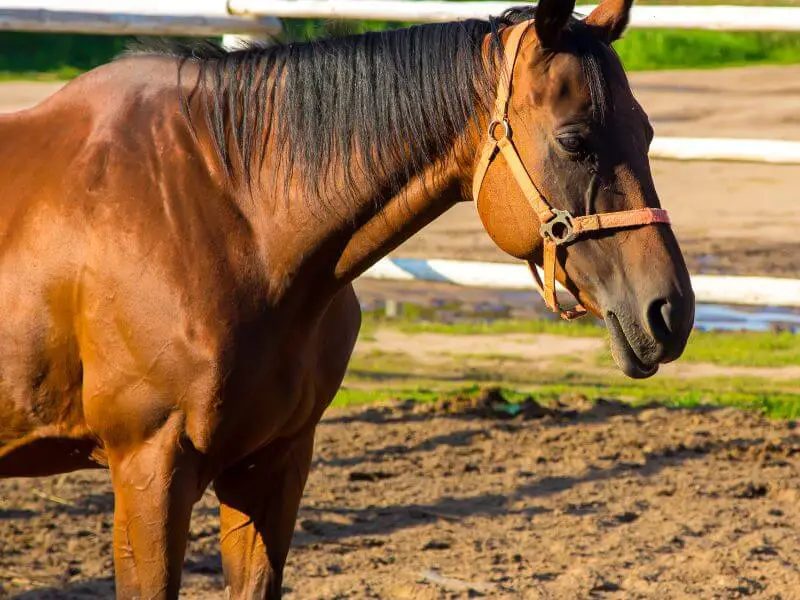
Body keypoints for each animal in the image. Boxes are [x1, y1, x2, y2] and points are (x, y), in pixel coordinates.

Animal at [0, 0, 692, 596]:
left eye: (647, 131)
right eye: (575, 141)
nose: (671, 311)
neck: (228, 215)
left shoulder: (273, 466)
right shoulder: (149, 472)